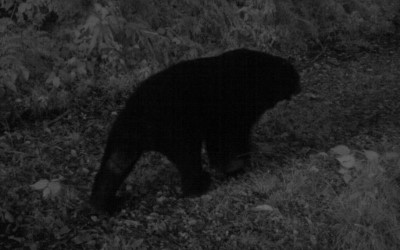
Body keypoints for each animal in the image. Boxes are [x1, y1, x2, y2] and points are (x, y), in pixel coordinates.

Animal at [90, 48, 300, 213]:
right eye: (293, 78)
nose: (299, 86)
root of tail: (137, 114)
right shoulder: (233, 110)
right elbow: (231, 139)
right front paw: (236, 167)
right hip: (175, 126)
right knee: (188, 157)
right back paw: (199, 185)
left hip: (123, 135)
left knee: (115, 163)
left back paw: (104, 204)